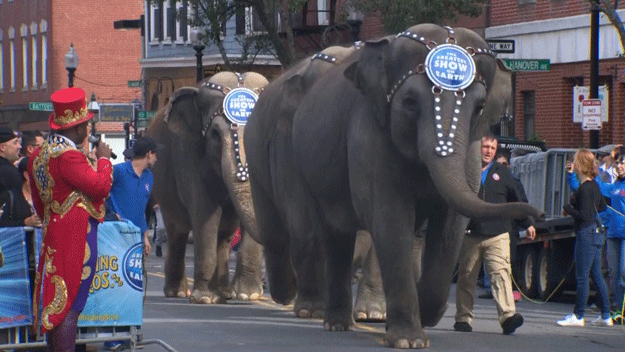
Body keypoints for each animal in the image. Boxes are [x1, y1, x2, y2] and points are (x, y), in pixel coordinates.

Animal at [148, 71, 268, 302]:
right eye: (215, 135)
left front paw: (248, 295)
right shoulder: (189, 153)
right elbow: (205, 212)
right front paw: (203, 298)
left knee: (224, 235)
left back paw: (225, 293)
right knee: (177, 232)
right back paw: (178, 292)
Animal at [244, 24, 540, 350]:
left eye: (479, 107)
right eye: (409, 102)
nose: (536, 215)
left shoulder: (471, 153)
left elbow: (450, 226)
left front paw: (422, 316)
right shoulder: (365, 134)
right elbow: (389, 217)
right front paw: (408, 341)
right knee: (329, 234)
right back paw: (330, 321)